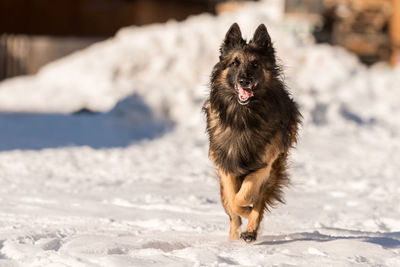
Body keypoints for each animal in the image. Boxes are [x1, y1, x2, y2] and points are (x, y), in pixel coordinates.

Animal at [203, 24, 300, 244]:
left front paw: (248, 211)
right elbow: (233, 200)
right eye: (235, 63)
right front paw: (241, 213)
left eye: (255, 64)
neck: (244, 117)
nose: (244, 81)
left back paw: (250, 231)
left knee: (259, 201)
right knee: (231, 212)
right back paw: (234, 237)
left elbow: (245, 195)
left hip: (274, 171)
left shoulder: (264, 164)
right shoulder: (226, 164)